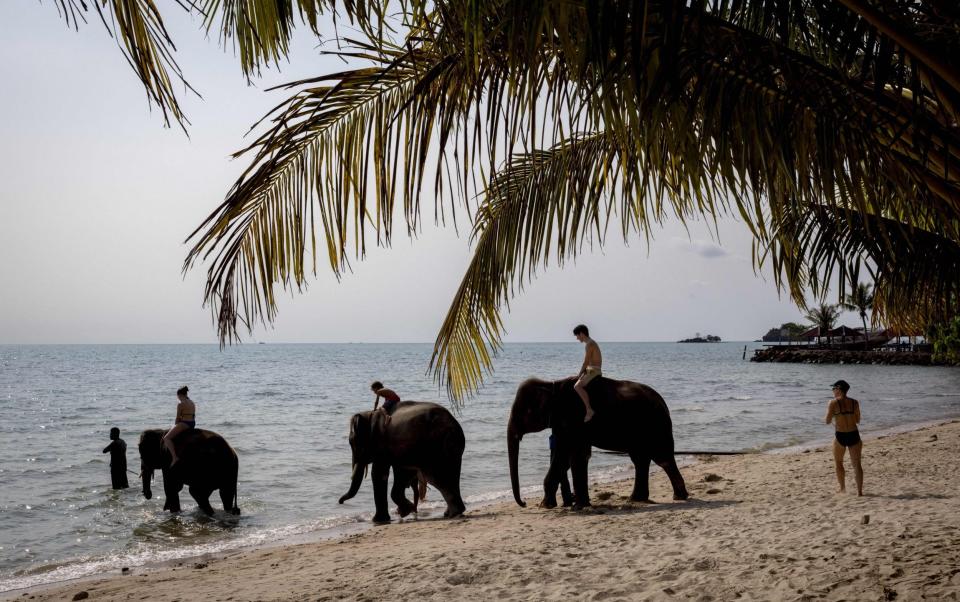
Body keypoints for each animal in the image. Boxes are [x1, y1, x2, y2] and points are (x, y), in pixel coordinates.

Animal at [506, 376, 688, 506]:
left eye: (524, 412)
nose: (524, 503)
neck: (552, 384)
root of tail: (664, 403)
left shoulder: (573, 419)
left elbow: (564, 455)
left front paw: (545, 505)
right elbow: (578, 455)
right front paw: (581, 504)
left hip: (656, 427)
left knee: (662, 458)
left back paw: (678, 497)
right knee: (640, 460)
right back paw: (637, 499)